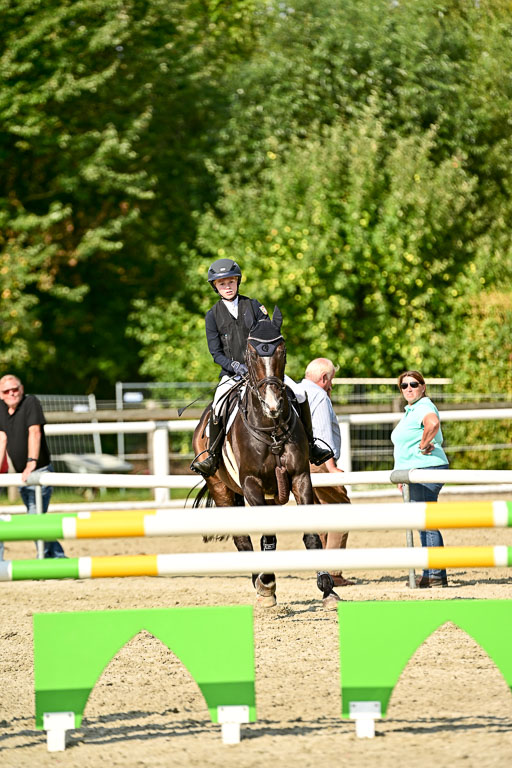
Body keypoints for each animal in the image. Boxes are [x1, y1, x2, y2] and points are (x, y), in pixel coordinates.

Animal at [192, 306, 340, 609]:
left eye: (282, 350)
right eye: (251, 352)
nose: (273, 405)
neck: (270, 429)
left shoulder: (299, 477)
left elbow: (311, 534)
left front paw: (326, 587)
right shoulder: (251, 483)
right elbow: (266, 533)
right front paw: (267, 585)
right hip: (222, 488)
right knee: (243, 540)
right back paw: (261, 584)